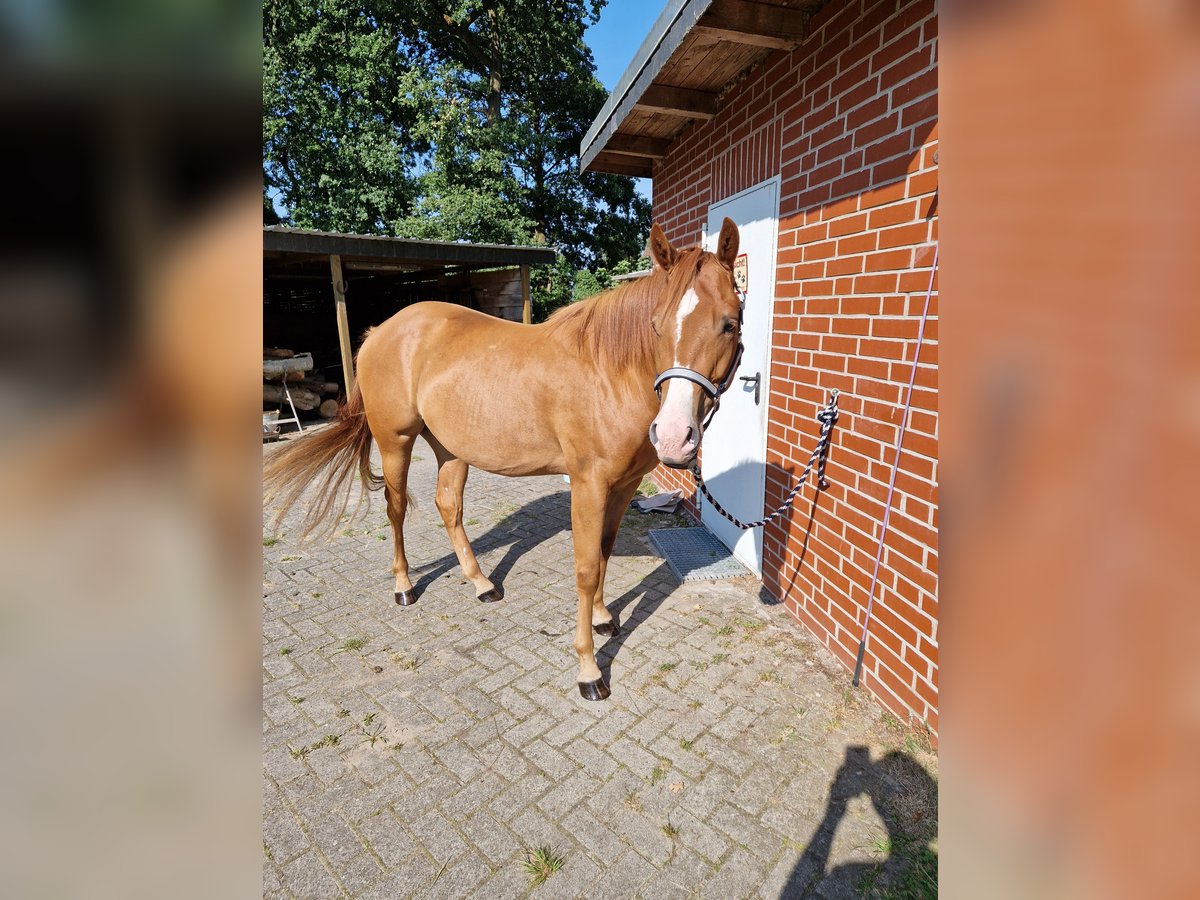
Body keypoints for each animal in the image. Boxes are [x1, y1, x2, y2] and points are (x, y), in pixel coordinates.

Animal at [265, 222, 739, 700]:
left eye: (730, 324)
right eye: (657, 327)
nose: (675, 436)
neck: (610, 372)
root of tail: (381, 331)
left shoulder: (622, 486)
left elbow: (604, 552)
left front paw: (605, 618)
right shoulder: (588, 484)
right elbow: (586, 568)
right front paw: (589, 670)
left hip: (451, 449)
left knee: (448, 507)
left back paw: (482, 585)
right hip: (395, 442)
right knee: (396, 510)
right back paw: (403, 588)